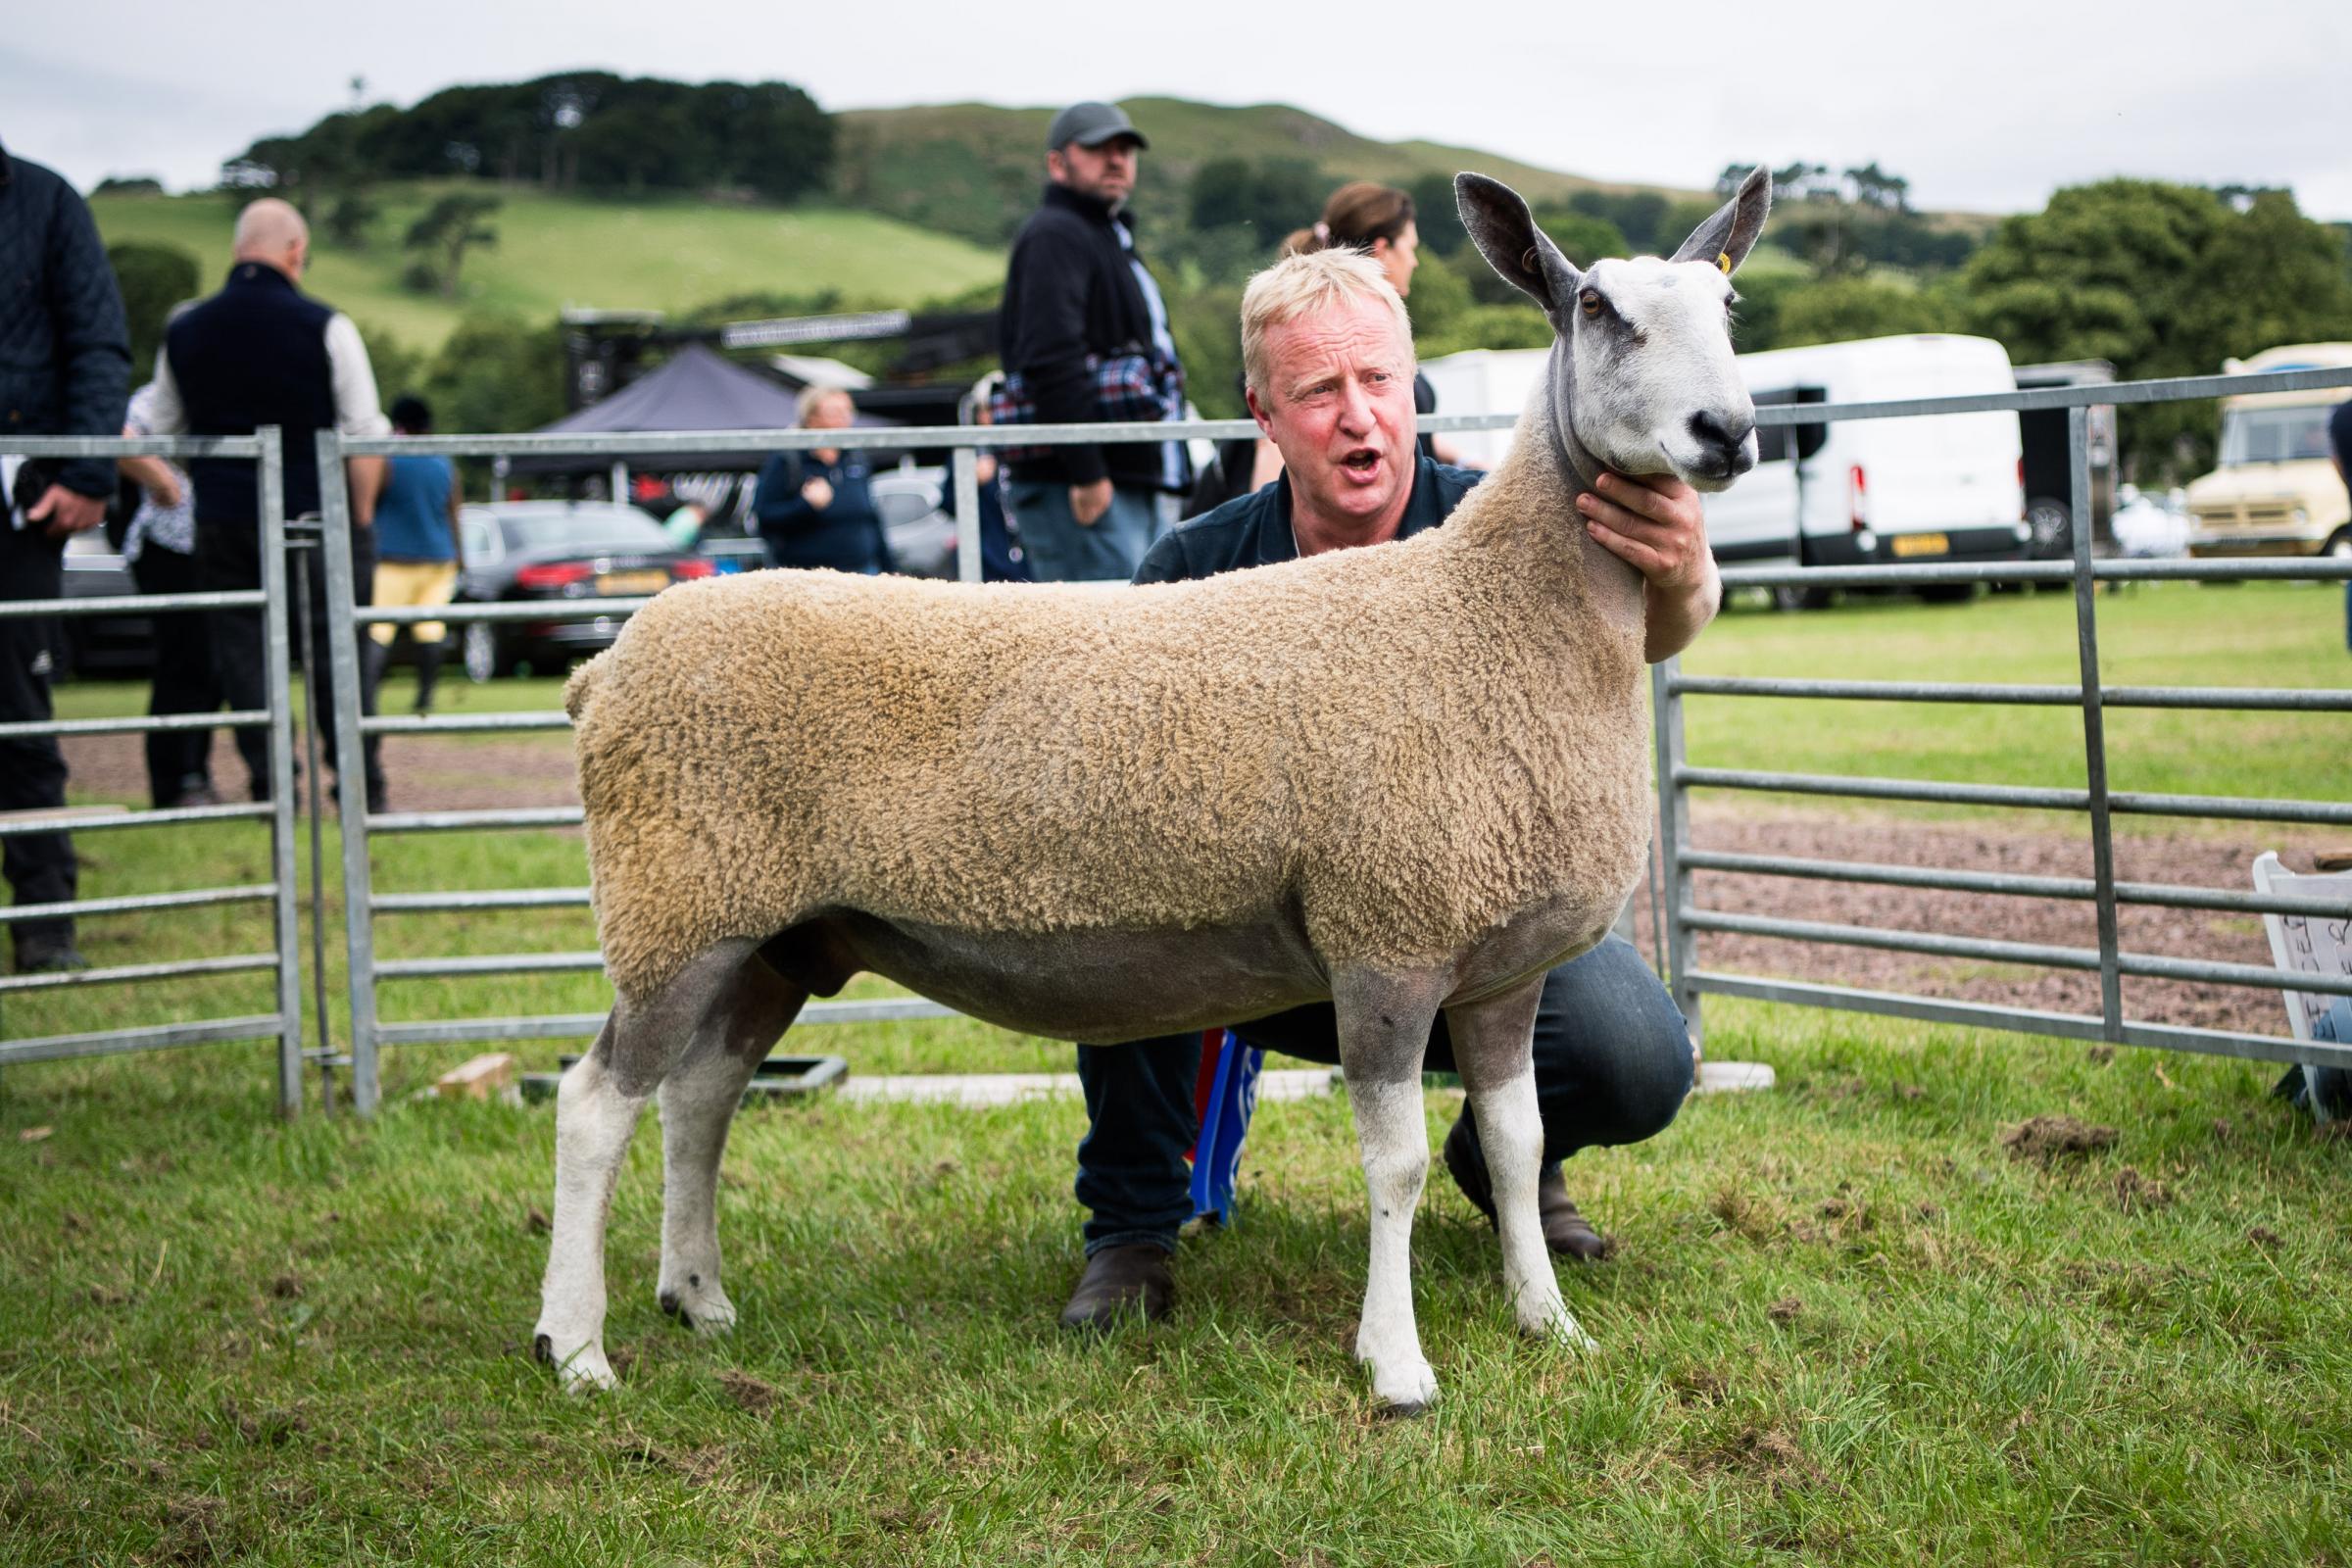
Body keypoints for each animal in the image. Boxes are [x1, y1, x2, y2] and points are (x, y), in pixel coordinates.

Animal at [538, 169, 1768, 1410]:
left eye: (1727, 309)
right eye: (1599, 310)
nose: (1728, 432)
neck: (1493, 614)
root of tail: (607, 669)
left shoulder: (1501, 967)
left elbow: (1517, 1145)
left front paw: (1549, 1322)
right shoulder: (1387, 933)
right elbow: (1400, 1164)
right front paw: (1397, 1362)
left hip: (774, 932)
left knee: (699, 1097)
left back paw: (698, 1297)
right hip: (675, 903)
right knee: (597, 1106)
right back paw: (578, 1348)